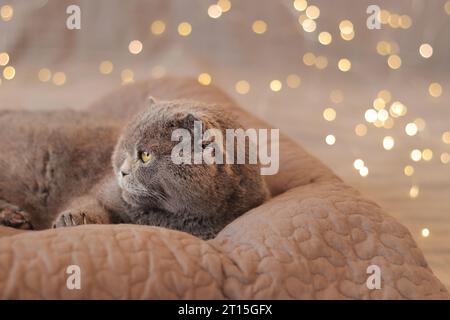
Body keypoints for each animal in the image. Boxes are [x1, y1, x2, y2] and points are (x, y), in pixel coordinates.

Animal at [0, 79, 270, 240]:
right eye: (123, 149)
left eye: (145, 155)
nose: (122, 171)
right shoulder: (101, 190)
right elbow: (88, 202)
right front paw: (73, 220)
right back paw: (14, 215)